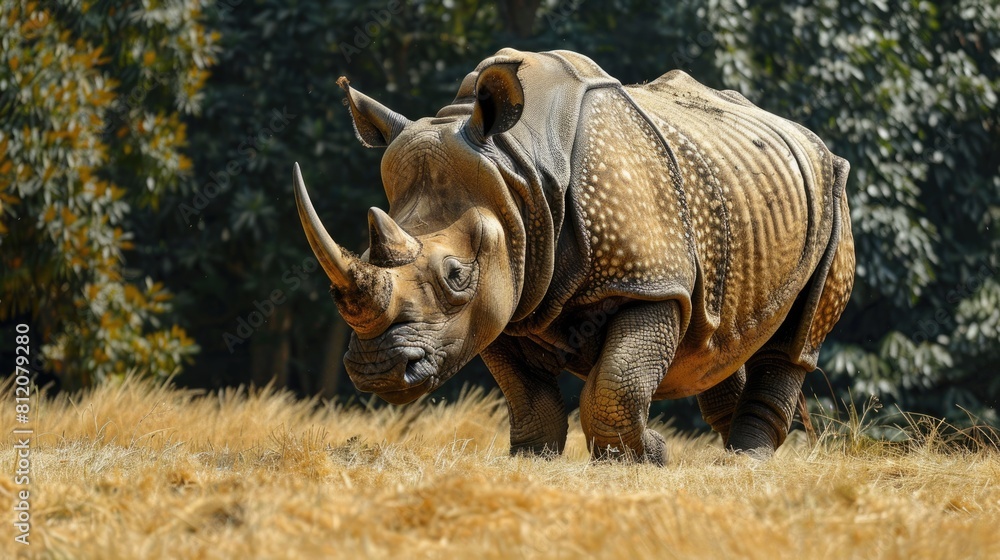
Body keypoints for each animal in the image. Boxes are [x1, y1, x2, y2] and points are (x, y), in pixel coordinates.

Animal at [293, 49, 855, 463]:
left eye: (455, 276)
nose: (377, 372)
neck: (518, 172)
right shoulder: (508, 291)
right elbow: (527, 395)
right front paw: (532, 458)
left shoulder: (649, 282)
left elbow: (616, 385)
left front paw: (648, 457)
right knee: (717, 343)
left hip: (834, 191)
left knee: (797, 339)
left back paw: (747, 460)